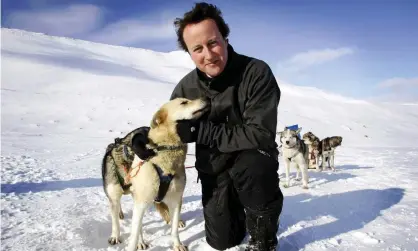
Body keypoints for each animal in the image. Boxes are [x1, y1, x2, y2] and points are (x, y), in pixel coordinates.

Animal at [125, 98, 208, 251]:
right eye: (184, 102)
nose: (207, 98)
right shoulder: (141, 203)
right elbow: (134, 233)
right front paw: (135, 243)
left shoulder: (176, 199)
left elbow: (174, 228)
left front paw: (177, 244)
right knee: (138, 227)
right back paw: (141, 241)